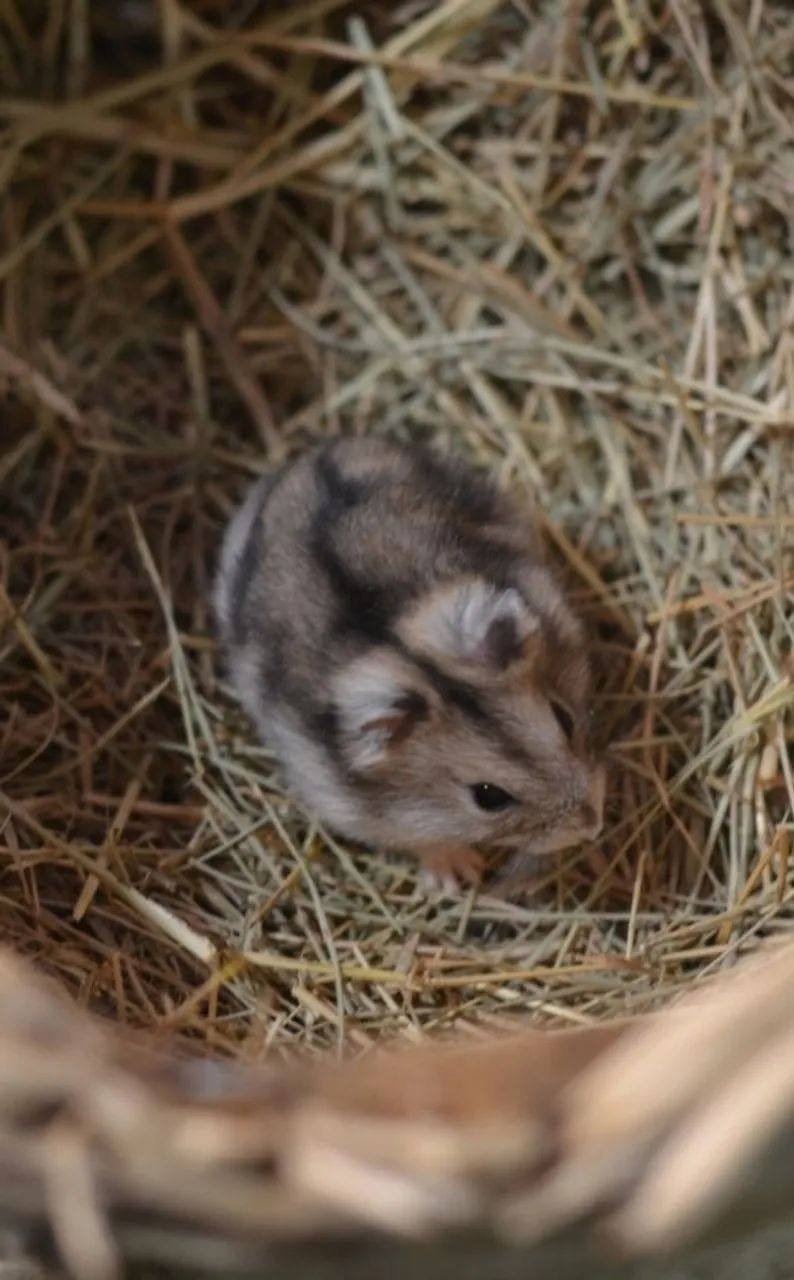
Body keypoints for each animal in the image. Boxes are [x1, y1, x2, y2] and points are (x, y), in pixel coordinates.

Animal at [214, 438, 604, 893]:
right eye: (488, 796)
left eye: (565, 719)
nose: (593, 825)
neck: (414, 661)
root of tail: (306, 459)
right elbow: (420, 840)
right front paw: (459, 877)